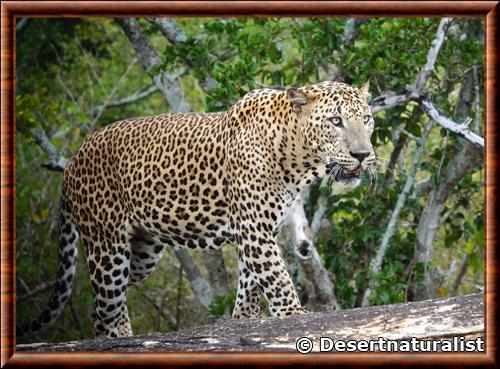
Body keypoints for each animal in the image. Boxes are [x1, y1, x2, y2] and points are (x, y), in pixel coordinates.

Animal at [18, 80, 376, 336]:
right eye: (336, 121)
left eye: (367, 119)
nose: (363, 155)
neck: (295, 156)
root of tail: (72, 161)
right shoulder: (254, 231)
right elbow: (277, 279)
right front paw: (294, 316)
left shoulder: (260, 232)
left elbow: (250, 286)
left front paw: (244, 321)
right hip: (107, 248)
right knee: (102, 307)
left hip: (142, 253)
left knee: (107, 304)